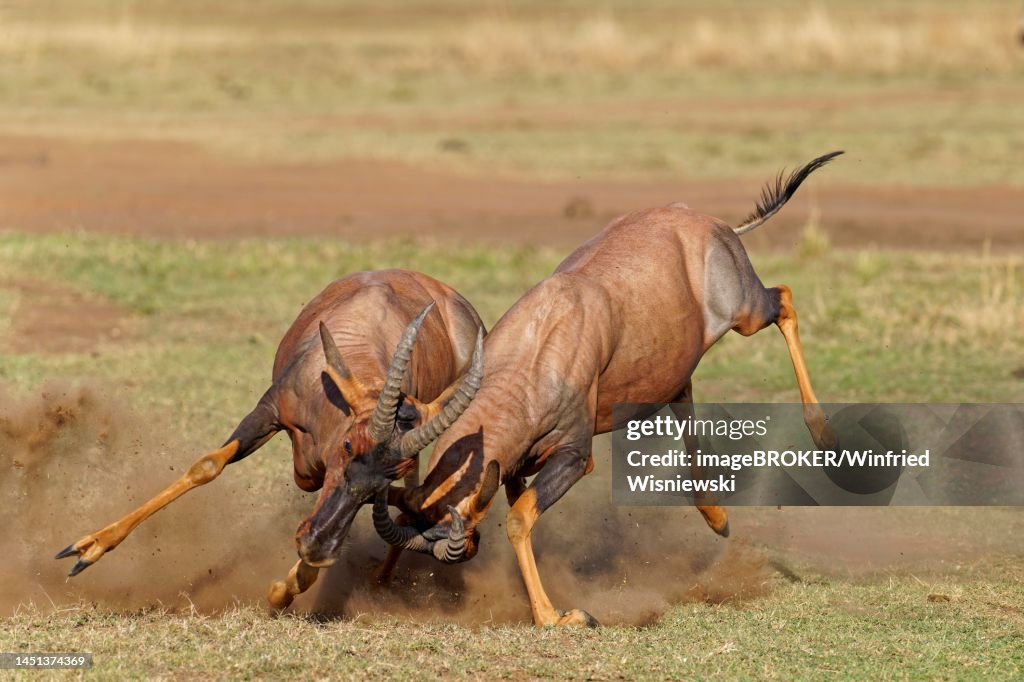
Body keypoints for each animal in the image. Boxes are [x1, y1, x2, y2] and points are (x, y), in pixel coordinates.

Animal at [55, 269, 484, 609]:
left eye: (387, 474)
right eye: (349, 445)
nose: (317, 547)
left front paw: (284, 590)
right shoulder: (269, 411)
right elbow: (208, 466)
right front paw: (85, 550)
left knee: (414, 496)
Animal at [373, 152, 843, 627]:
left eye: (463, 525)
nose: (468, 549)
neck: (544, 336)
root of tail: (707, 221)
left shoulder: (575, 456)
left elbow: (520, 519)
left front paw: (559, 617)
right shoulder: (519, 464)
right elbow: (521, 511)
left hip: (746, 314)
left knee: (783, 299)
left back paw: (824, 436)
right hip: (673, 367)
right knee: (685, 397)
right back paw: (717, 516)